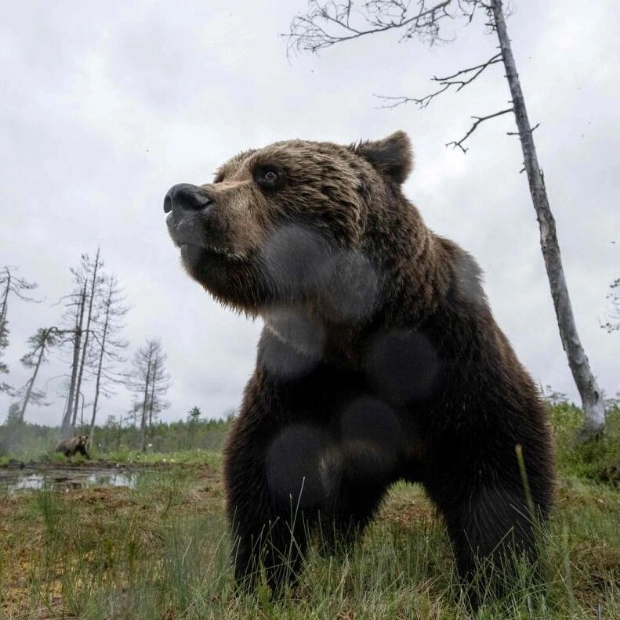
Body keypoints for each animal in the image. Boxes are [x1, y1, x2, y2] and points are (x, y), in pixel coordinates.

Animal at [162, 132, 556, 604]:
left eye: (269, 173)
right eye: (222, 175)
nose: (183, 197)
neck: (357, 333)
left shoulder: (456, 362)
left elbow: (498, 471)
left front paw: (502, 583)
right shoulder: (301, 377)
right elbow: (269, 472)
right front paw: (264, 578)